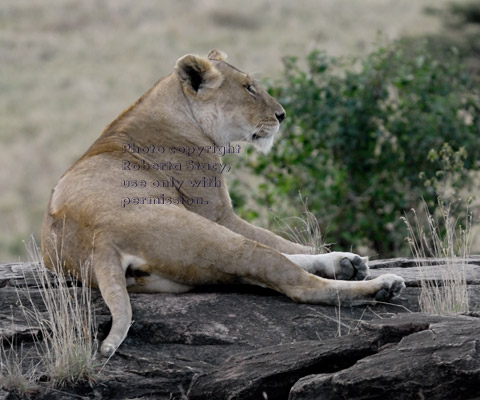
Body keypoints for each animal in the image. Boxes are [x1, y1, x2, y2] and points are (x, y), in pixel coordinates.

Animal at [41, 50, 404, 356]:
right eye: (249, 88)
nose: (282, 115)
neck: (174, 109)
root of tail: (96, 244)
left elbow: (284, 244)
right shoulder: (219, 213)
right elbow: (281, 242)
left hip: (190, 271)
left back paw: (348, 263)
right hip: (201, 233)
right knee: (289, 278)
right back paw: (381, 286)